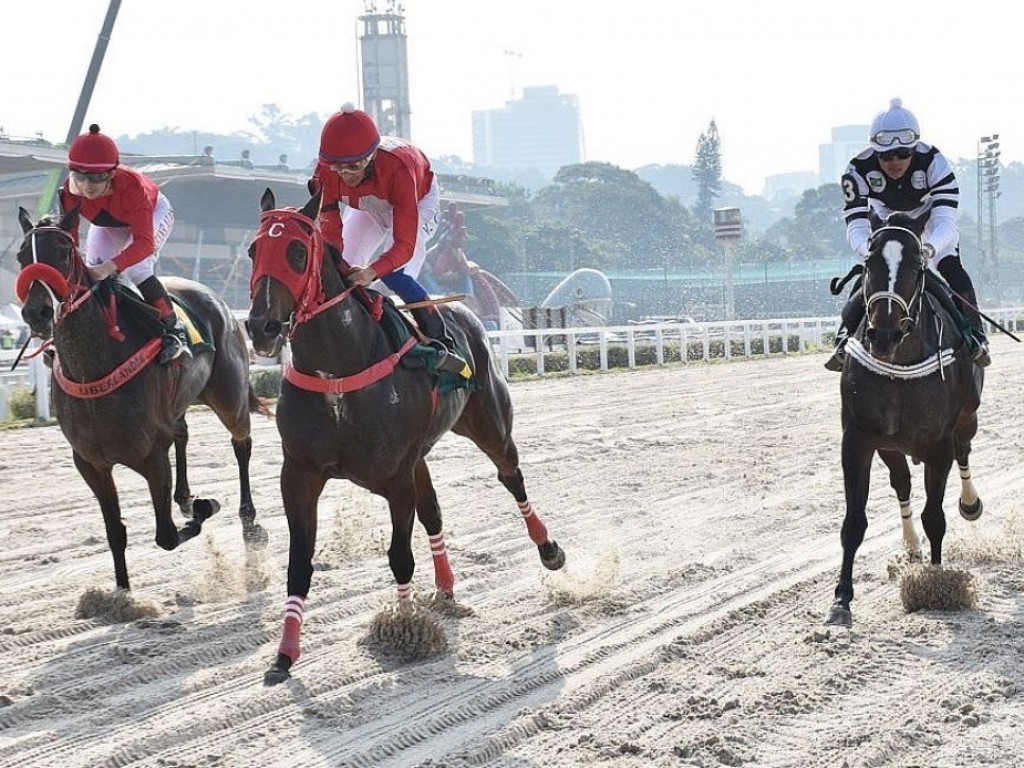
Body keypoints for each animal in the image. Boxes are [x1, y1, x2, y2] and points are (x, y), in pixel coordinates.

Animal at [14, 207, 268, 593]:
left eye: (63, 251)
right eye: (21, 257)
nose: (37, 313)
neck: (93, 368)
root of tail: (219, 300)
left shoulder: (152, 458)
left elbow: (166, 535)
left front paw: (205, 506)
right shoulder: (91, 463)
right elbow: (115, 532)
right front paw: (122, 593)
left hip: (230, 398)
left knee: (242, 444)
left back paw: (248, 521)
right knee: (182, 432)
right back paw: (184, 497)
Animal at [247, 192, 569, 684]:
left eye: (297, 253)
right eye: (252, 251)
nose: (260, 327)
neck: (338, 374)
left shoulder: (395, 476)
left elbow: (400, 554)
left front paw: (405, 629)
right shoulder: (299, 474)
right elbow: (299, 564)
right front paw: (284, 655)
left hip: (491, 427)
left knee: (511, 478)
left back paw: (548, 548)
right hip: (421, 456)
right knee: (434, 512)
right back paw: (446, 588)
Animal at [823, 208, 983, 626]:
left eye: (915, 264)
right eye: (868, 264)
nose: (884, 332)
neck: (900, 362)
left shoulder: (939, 442)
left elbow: (935, 516)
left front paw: (936, 582)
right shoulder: (858, 437)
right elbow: (854, 522)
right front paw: (841, 600)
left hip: (968, 417)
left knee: (964, 452)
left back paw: (970, 503)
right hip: (891, 445)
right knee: (902, 483)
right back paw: (911, 547)